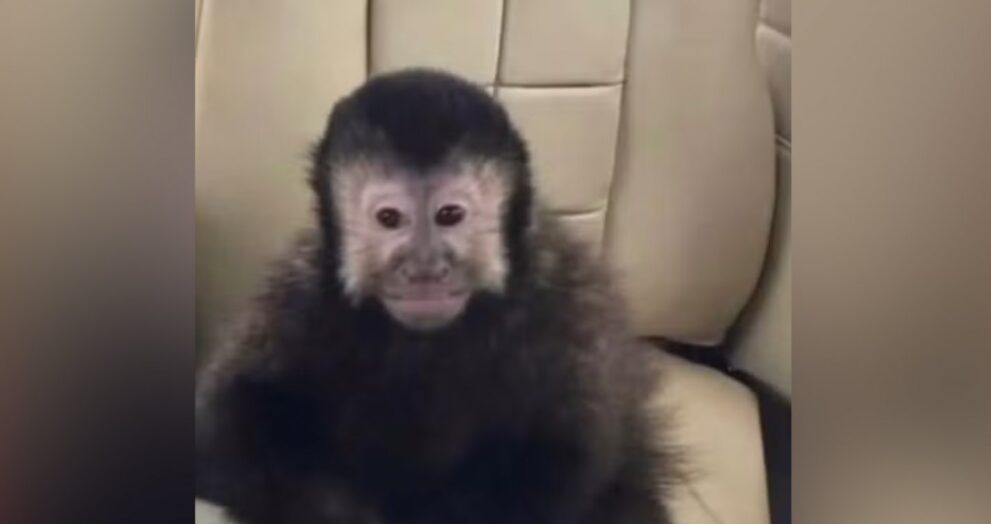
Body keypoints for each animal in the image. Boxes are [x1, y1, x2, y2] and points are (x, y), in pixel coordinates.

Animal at [196, 69, 677, 524]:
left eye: (449, 215)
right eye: (390, 219)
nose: (424, 269)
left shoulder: (565, 303)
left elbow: (567, 452)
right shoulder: (299, 295)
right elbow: (228, 417)